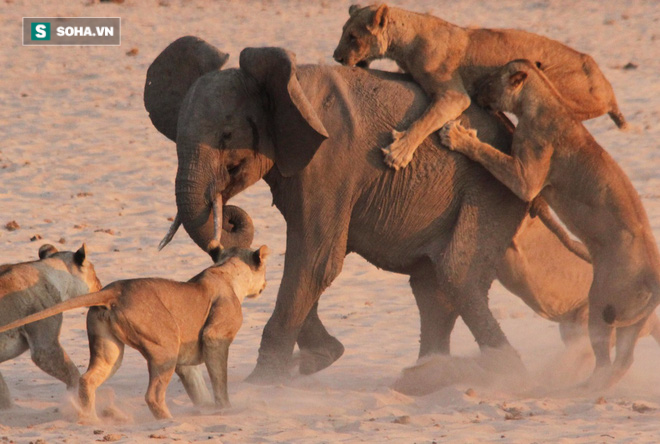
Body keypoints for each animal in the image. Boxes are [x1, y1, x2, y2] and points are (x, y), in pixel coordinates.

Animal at [144, 36, 572, 384]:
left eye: (227, 136)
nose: (227, 214)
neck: (288, 85)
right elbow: (309, 259)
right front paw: (320, 358)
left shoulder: (331, 161)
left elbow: (315, 260)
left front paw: (263, 382)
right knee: (431, 286)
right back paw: (427, 375)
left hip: (493, 190)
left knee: (456, 274)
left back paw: (507, 374)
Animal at [336, 3, 628, 170]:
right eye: (343, 33)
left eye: (352, 36)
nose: (336, 57)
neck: (404, 42)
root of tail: (608, 89)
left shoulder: (454, 95)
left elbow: (425, 119)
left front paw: (398, 153)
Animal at [438, 58, 660, 388]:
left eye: (489, 81)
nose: (474, 92)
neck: (545, 99)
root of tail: (654, 273)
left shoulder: (526, 178)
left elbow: (489, 153)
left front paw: (457, 136)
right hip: (629, 319)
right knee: (623, 360)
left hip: (600, 303)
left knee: (604, 355)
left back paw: (582, 386)